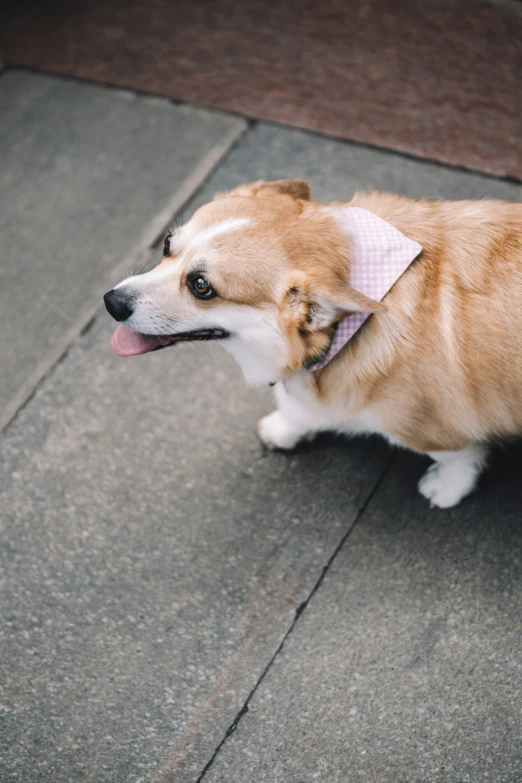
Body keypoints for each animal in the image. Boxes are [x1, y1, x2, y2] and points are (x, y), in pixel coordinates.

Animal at [102, 179, 520, 508]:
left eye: (201, 286)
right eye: (167, 244)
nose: (111, 302)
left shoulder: (429, 428)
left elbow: (458, 458)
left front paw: (447, 488)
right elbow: (300, 408)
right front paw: (285, 427)